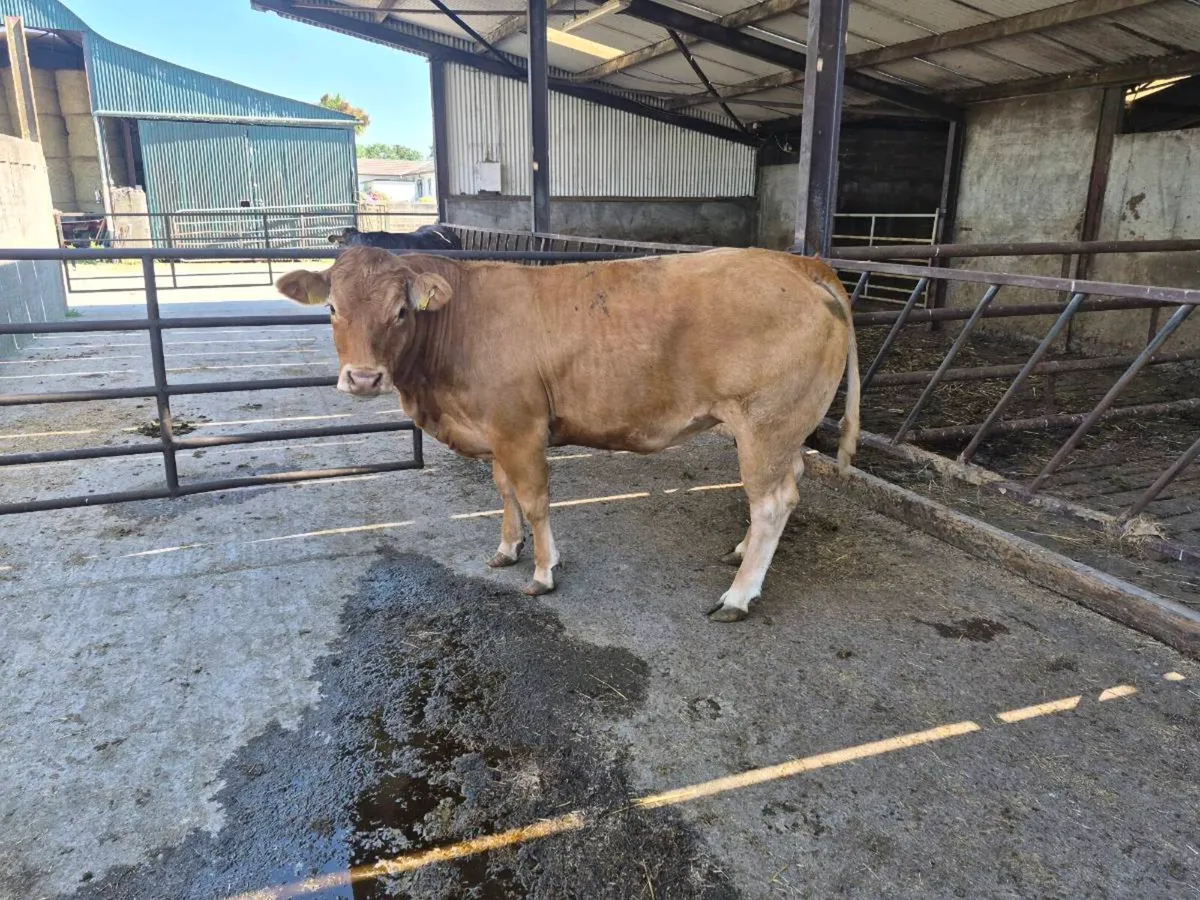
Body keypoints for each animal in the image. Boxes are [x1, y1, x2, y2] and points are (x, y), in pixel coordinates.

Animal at [275, 246, 859, 623]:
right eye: (332, 308)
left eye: (400, 311)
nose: (363, 378)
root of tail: (797, 262)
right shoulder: (494, 428)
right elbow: (504, 491)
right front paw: (507, 548)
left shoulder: (520, 426)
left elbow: (534, 499)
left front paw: (543, 570)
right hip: (785, 429)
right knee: (784, 486)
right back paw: (740, 550)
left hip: (766, 422)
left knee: (773, 501)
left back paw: (738, 597)